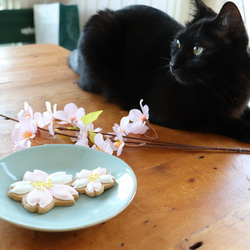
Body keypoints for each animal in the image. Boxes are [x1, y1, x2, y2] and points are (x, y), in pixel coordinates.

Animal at [68, 0, 250, 143]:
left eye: (197, 50)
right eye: (178, 42)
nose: (172, 65)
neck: (225, 83)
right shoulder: (172, 114)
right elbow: (217, 120)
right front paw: (245, 131)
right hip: (102, 25)